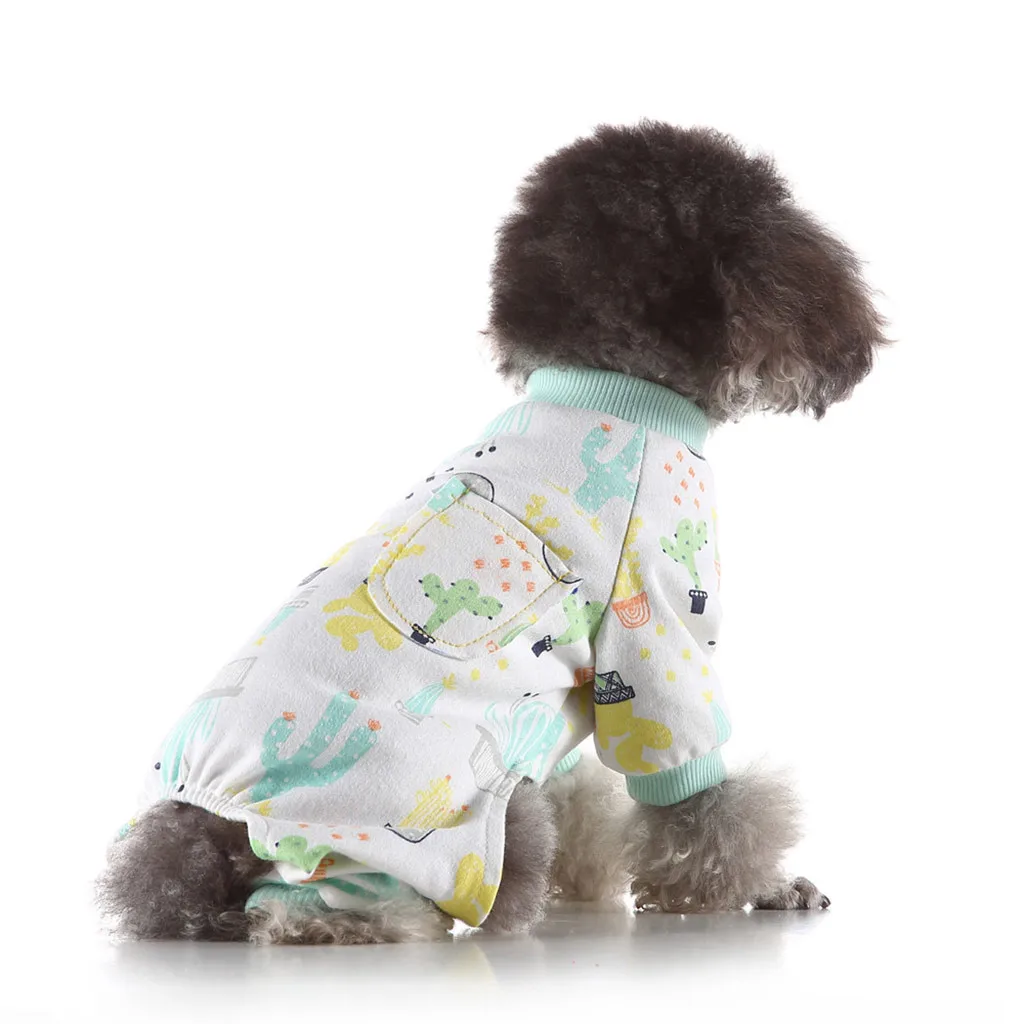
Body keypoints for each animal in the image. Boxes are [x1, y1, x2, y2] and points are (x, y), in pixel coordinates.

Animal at [98, 122, 886, 944]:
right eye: (767, 212)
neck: (612, 386)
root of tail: (198, 822)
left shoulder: (561, 701)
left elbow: (577, 793)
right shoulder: (659, 633)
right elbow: (698, 799)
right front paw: (763, 888)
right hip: (414, 827)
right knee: (306, 907)